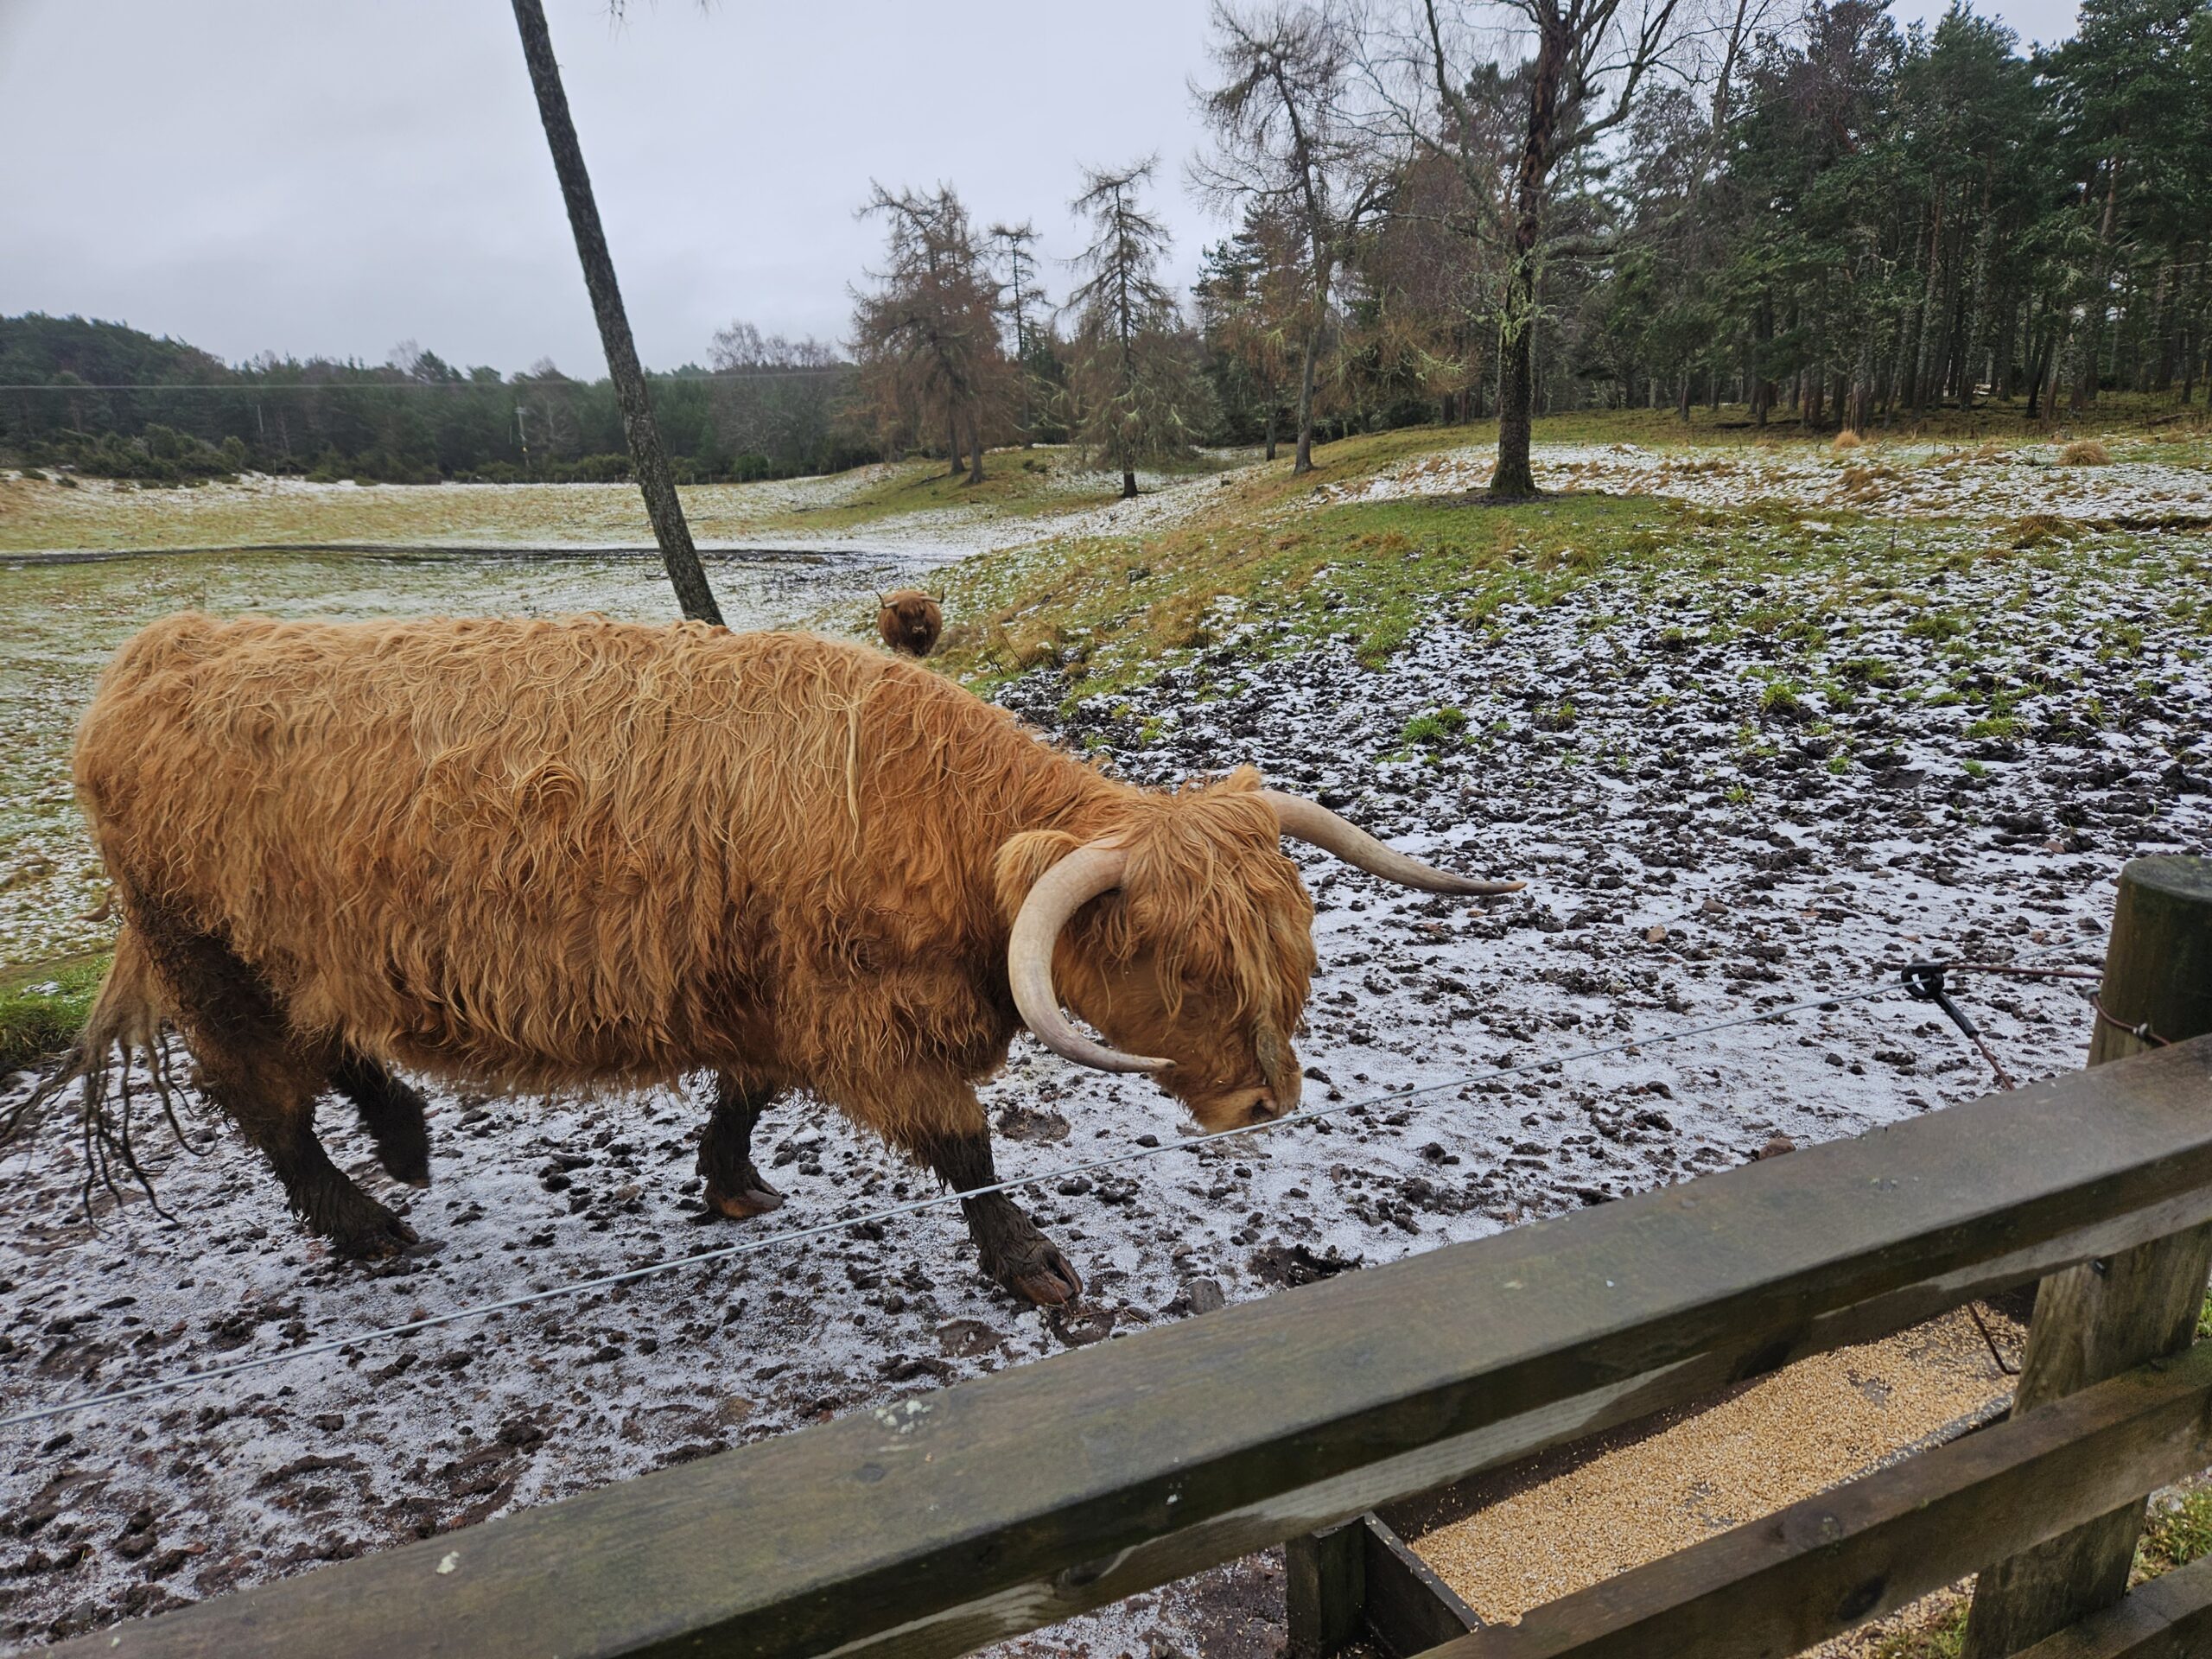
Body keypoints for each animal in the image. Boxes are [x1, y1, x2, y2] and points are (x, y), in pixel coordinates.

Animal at [47, 613, 1519, 1305]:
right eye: (1189, 971)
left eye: (1291, 946)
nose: (1267, 1102)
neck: (943, 830)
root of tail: (156, 654)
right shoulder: (861, 1016)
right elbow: (965, 1140)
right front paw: (1028, 1262)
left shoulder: (770, 998)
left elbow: (746, 1095)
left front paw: (732, 1183)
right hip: (213, 959)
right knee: (266, 1103)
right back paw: (369, 1217)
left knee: (336, 1053)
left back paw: (404, 1144)